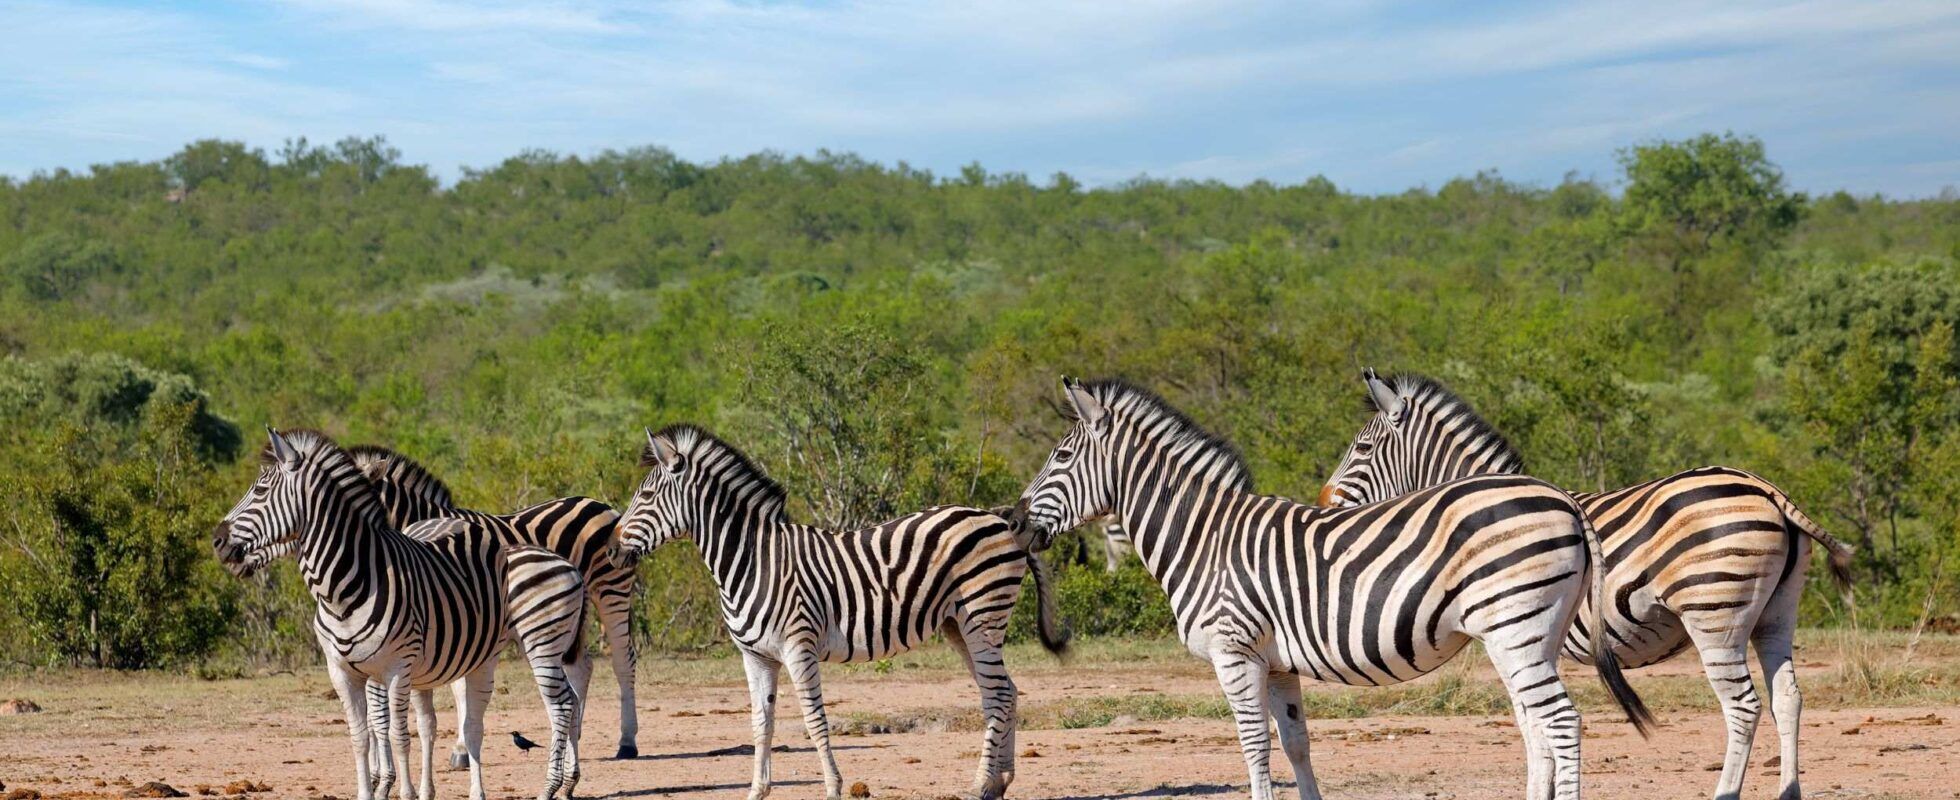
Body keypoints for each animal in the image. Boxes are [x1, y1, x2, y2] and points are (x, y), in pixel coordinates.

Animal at [212, 428, 590, 800]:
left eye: (260, 490)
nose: (217, 540)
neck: (349, 586)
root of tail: (568, 564)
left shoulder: (396, 668)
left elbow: (396, 733)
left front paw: (398, 788)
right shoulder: (343, 672)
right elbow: (362, 735)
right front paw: (373, 789)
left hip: (542, 643)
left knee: (561, 705)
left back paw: (551, 787)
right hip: (484, 654)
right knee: (480, 723)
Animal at [346, 445, 642, 761]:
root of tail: (598, 503)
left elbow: (458, 684)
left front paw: (462, 749)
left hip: (612, 589)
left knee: (623, 659)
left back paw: (626, 742)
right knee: (582, 666)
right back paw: (576, 737)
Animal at [614, 424, 1070, 800]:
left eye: (646, 496)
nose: (613, 549)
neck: (755, 560)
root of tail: (999, 518)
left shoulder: (798, 647)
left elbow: (815, 720)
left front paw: (833, 787)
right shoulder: (755, 656)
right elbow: (761, 723)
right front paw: (757, 791)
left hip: (982, 618)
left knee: (997, 694)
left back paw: (979, 785)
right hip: (959, 625)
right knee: (1007, 690)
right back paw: (999, 783)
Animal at [1010, 378, 1652, 800]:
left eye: (1061, 455)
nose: (1013, 522)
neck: (1205, 537)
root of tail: (1562, 497)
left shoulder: (1234, 652)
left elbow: (1253, 746)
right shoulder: (1275, 662)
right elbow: (1296, 745)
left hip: (1516, 630)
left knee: (1562, 723)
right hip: (1528, 637)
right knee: (1541, 727)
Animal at [1320, 369, 1856, 800]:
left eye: (1362, 448)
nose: (1323, 503)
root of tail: (1768, 489)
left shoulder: (1511, 636)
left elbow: (1529, 721)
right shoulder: (1533, 642)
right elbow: (1536, 722)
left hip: (1715, 615)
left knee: (1743, 707)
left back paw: (1724, 793)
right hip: (1777, 613)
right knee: (1787, 698)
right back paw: (1788, 793)